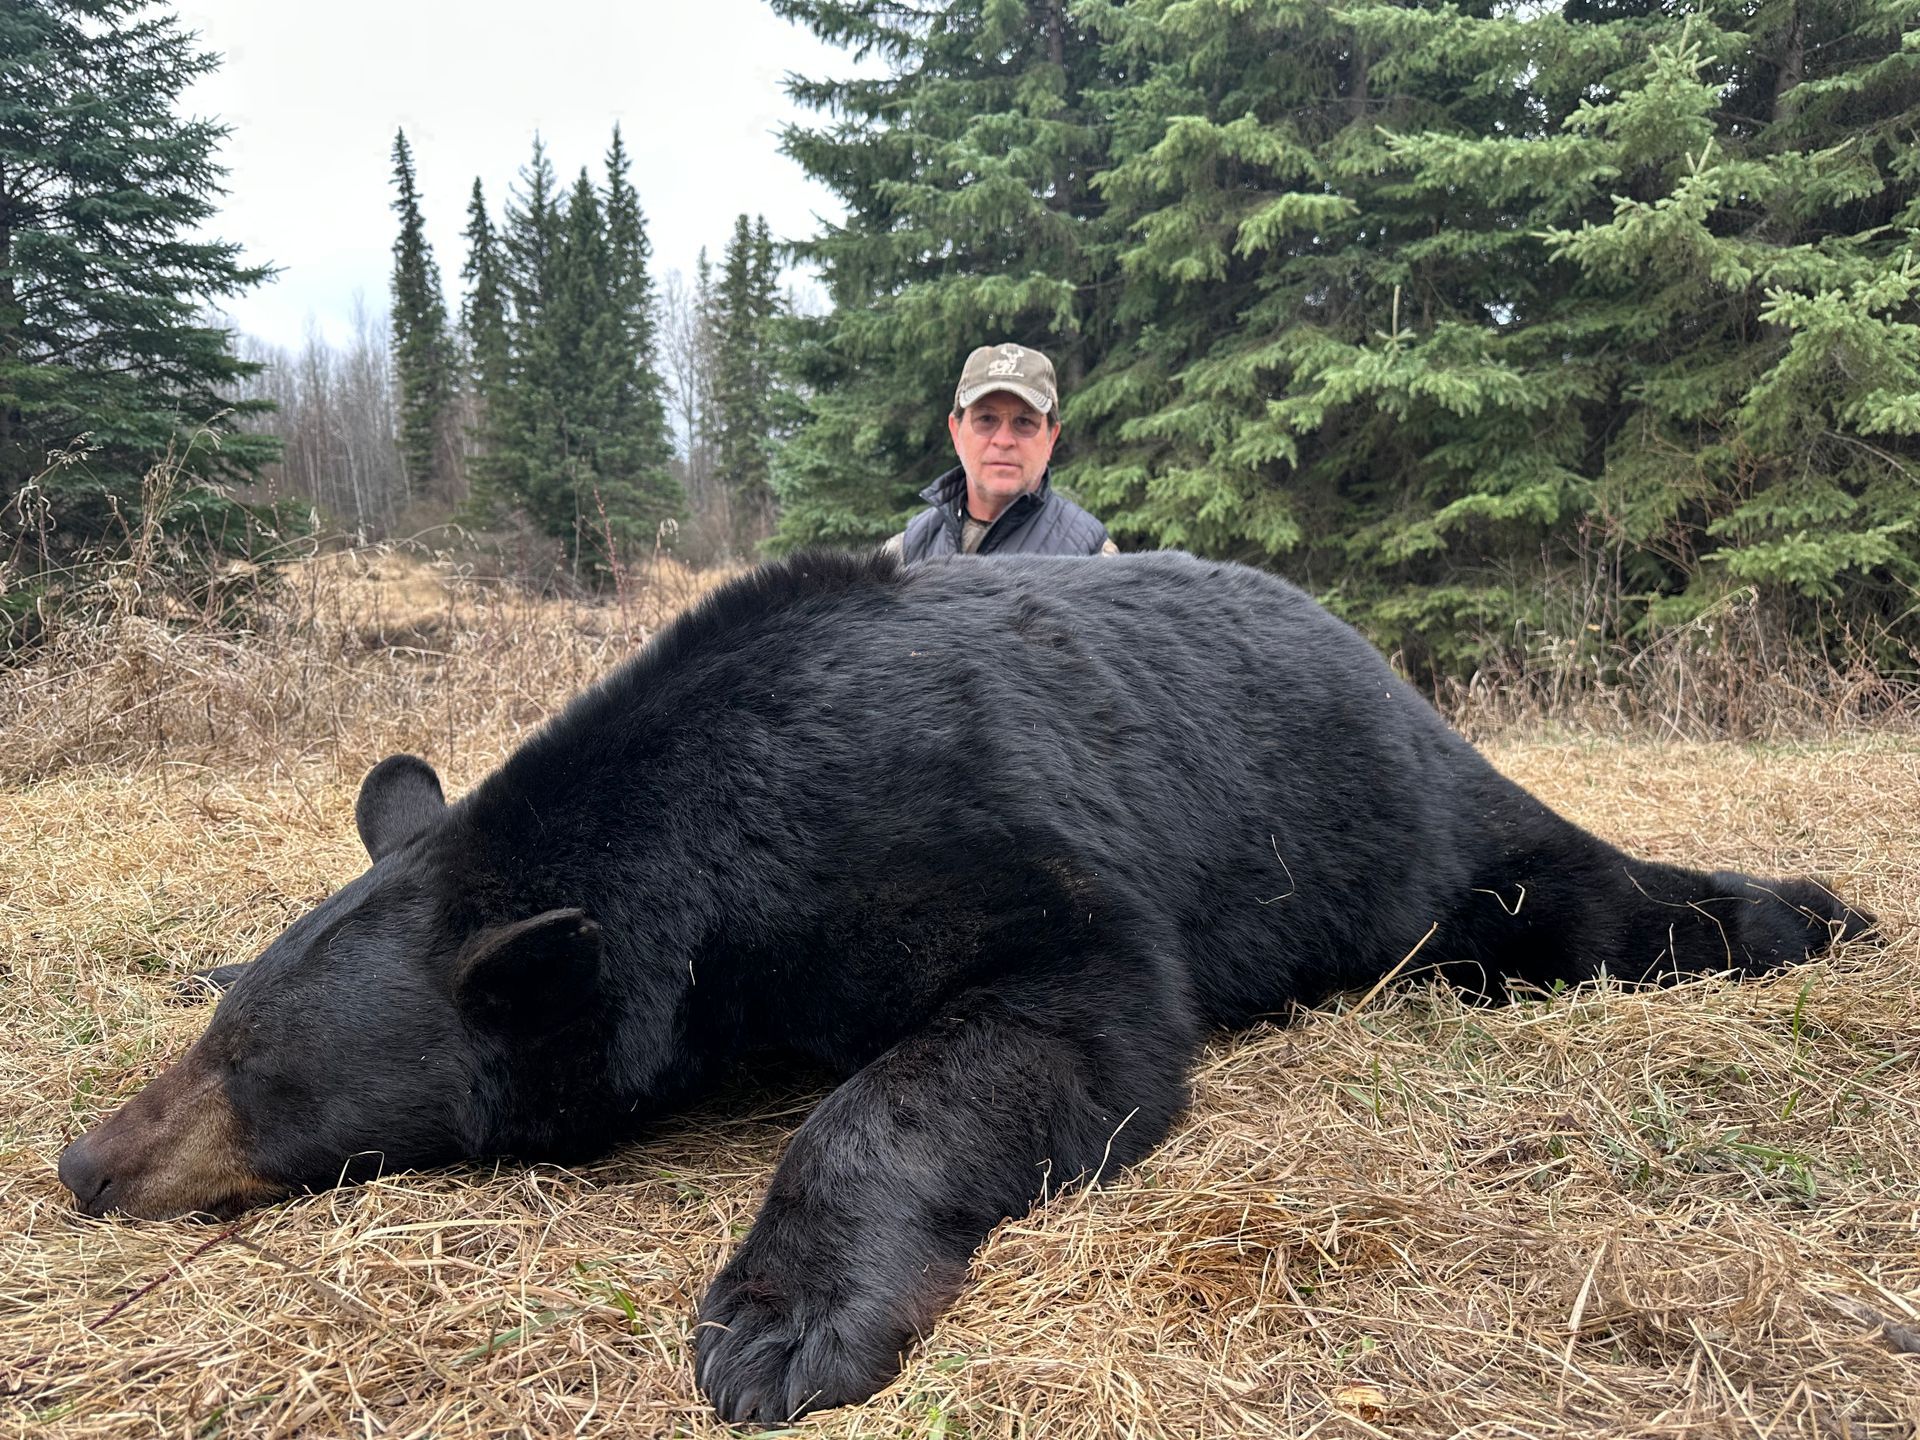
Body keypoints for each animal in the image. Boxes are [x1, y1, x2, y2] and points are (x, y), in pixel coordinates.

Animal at [58, 549, 1871, 1424]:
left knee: (1566, 889)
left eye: (269, 1083)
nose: (84, 1161)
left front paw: (777, 1328)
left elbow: (1040, 1028)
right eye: (214, 1024)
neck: (727, 842)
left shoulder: (981, 831)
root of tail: (1373, 653)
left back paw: (1808, 910)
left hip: (1390, 813)